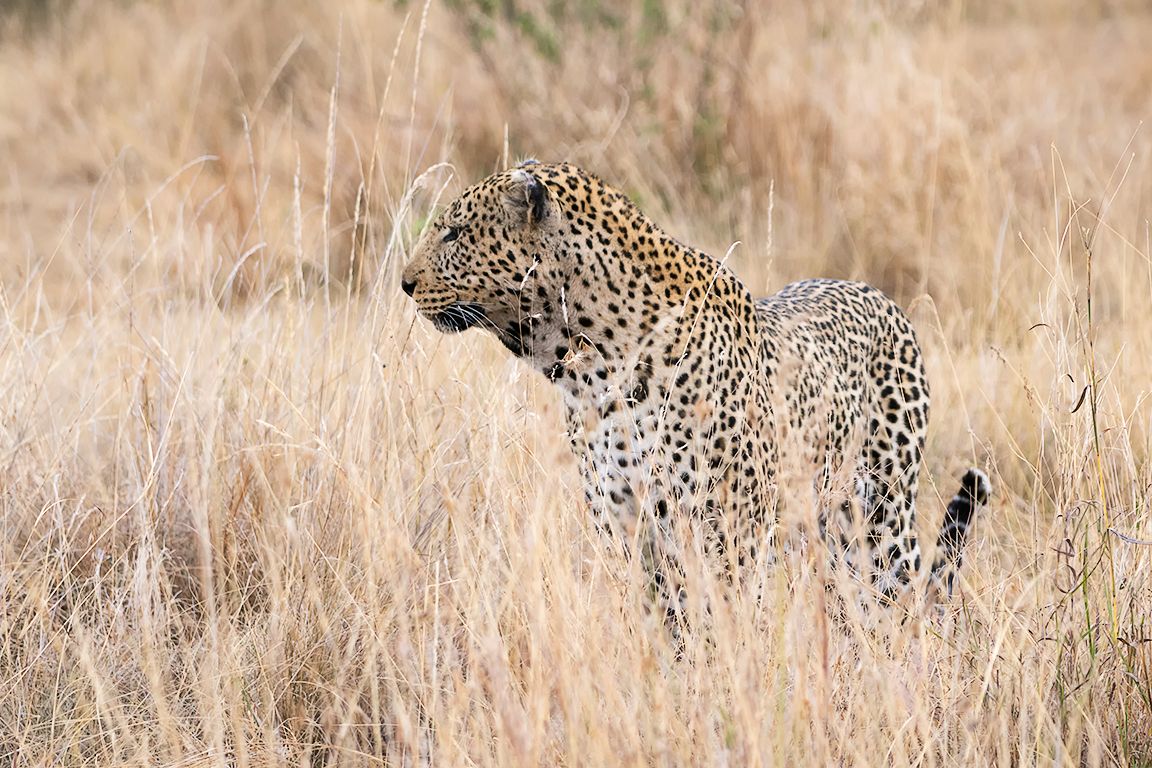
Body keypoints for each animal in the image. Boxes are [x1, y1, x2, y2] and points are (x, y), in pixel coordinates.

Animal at [401, 159, 990, 619]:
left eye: (453, 233)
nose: (404, 283)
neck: (589, 370)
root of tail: (878, 294)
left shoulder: (728, 534)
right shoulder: (624, 526)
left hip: (879, 517)